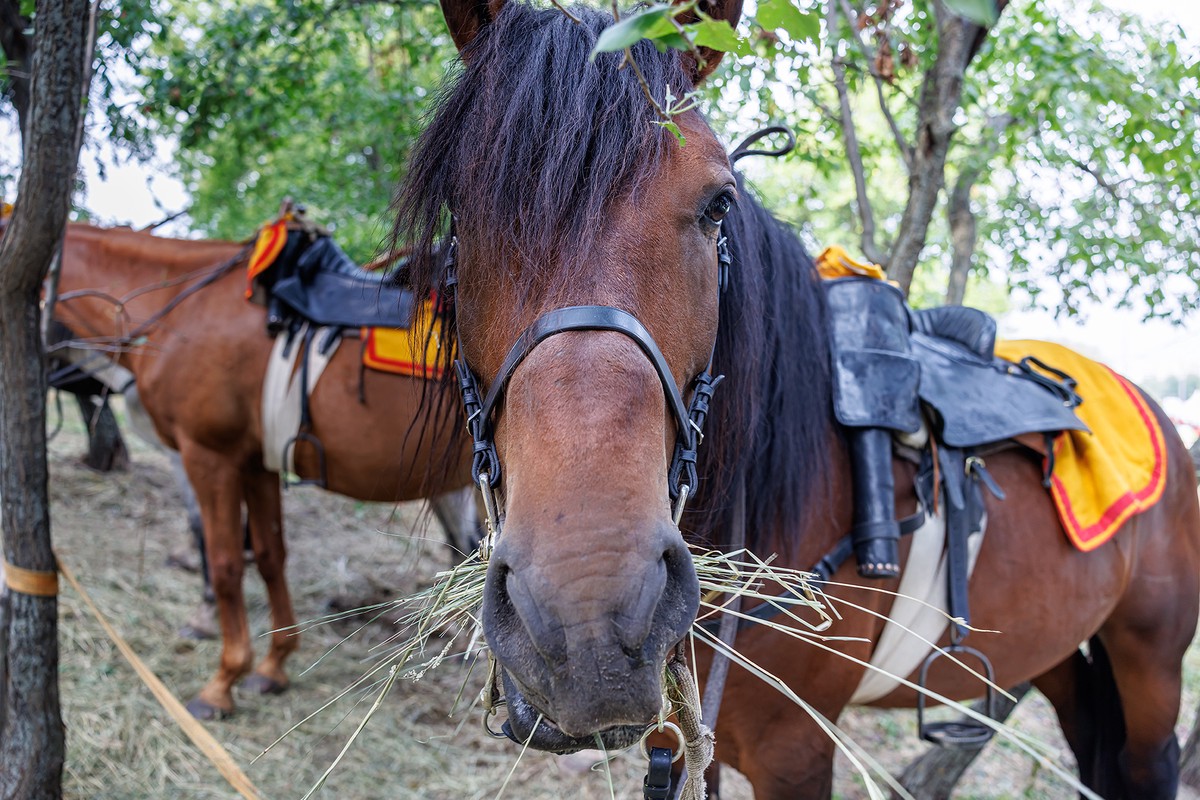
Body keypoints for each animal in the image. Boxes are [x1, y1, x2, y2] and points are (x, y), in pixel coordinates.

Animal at [54, 222, 474, 720]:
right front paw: (274, 664)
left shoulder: (207, 457)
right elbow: (271, 555)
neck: (185, 308)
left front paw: (223, 680)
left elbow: (225, 562)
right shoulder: (255, 463)